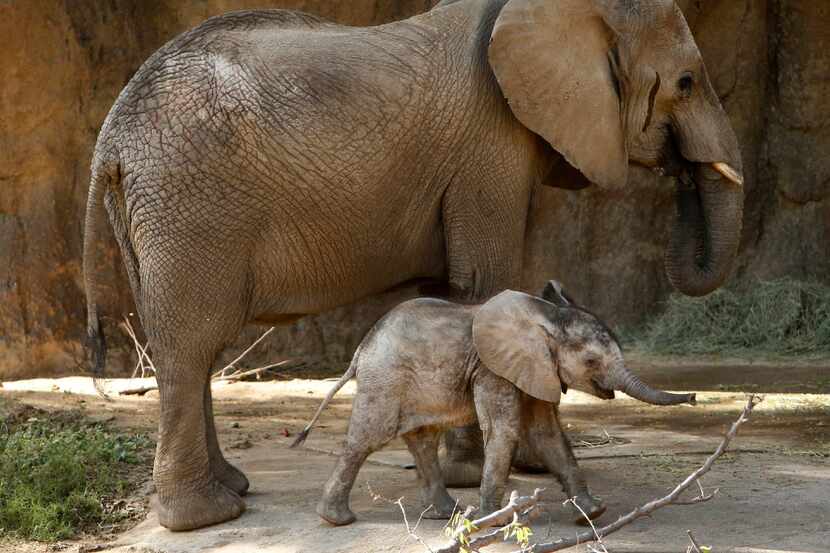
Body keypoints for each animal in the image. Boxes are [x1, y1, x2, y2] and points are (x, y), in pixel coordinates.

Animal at [292, 280, 696, 528]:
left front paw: (593, 514)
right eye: (592, 361)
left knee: (422, 440)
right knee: (367, 438)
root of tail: (360, 350)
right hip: (385, 379)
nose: (692, 398)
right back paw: (337, 519)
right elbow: (506, 431)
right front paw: (492, 522)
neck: (544, 317)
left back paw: (448, 514)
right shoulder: (493, 369)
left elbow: (547, 434)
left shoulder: (535, 368)